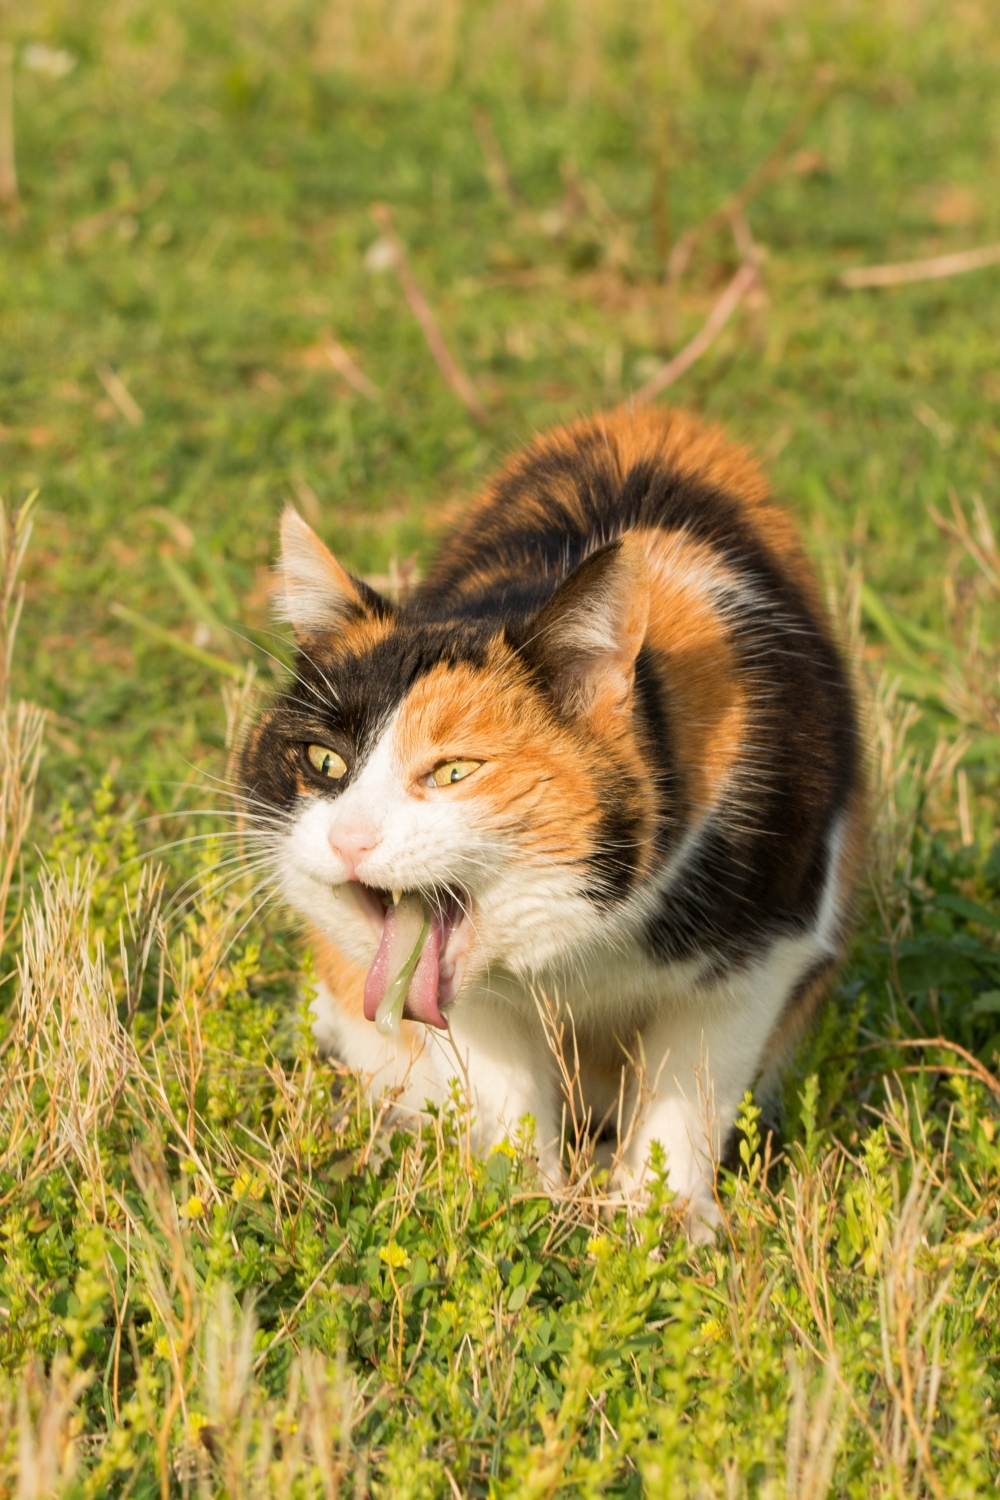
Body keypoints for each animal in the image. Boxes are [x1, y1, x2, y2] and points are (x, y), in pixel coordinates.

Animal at [242, 402, 869, 1230]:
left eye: (454, 771)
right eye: (323, 762)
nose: (350, 837)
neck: (586, 943)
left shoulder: (763, 952)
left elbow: (691, 1088)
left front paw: (662, 1222)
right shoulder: (469, 1004)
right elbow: (506, 1093)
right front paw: (519, 1203)